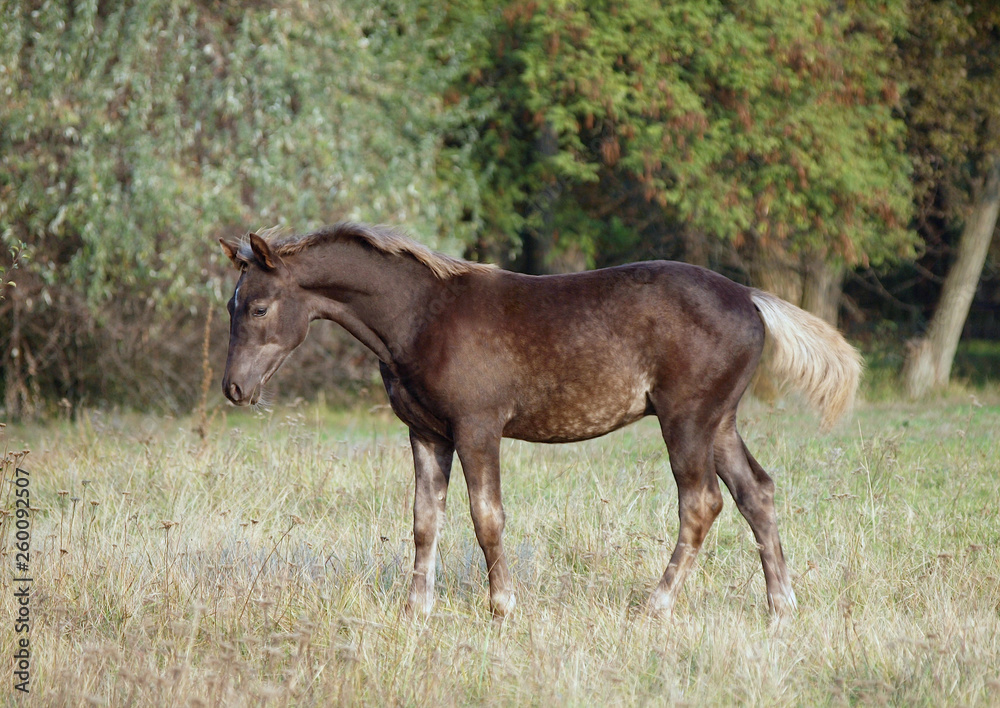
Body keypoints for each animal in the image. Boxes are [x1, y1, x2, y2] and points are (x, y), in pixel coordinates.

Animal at [220, 222, 861, 619]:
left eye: (259, 307)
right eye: (231, 305)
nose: (235, 389)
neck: (420, 315)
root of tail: (751, 296)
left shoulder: (477, 427)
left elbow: (486, 517)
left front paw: (501, 606)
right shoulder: (425, 433)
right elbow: (425, 519)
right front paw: (415, 609)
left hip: (687, 420)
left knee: (702, 502)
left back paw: (655, 605)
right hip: (719, 422)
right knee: (758, 492)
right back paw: (781, 607)